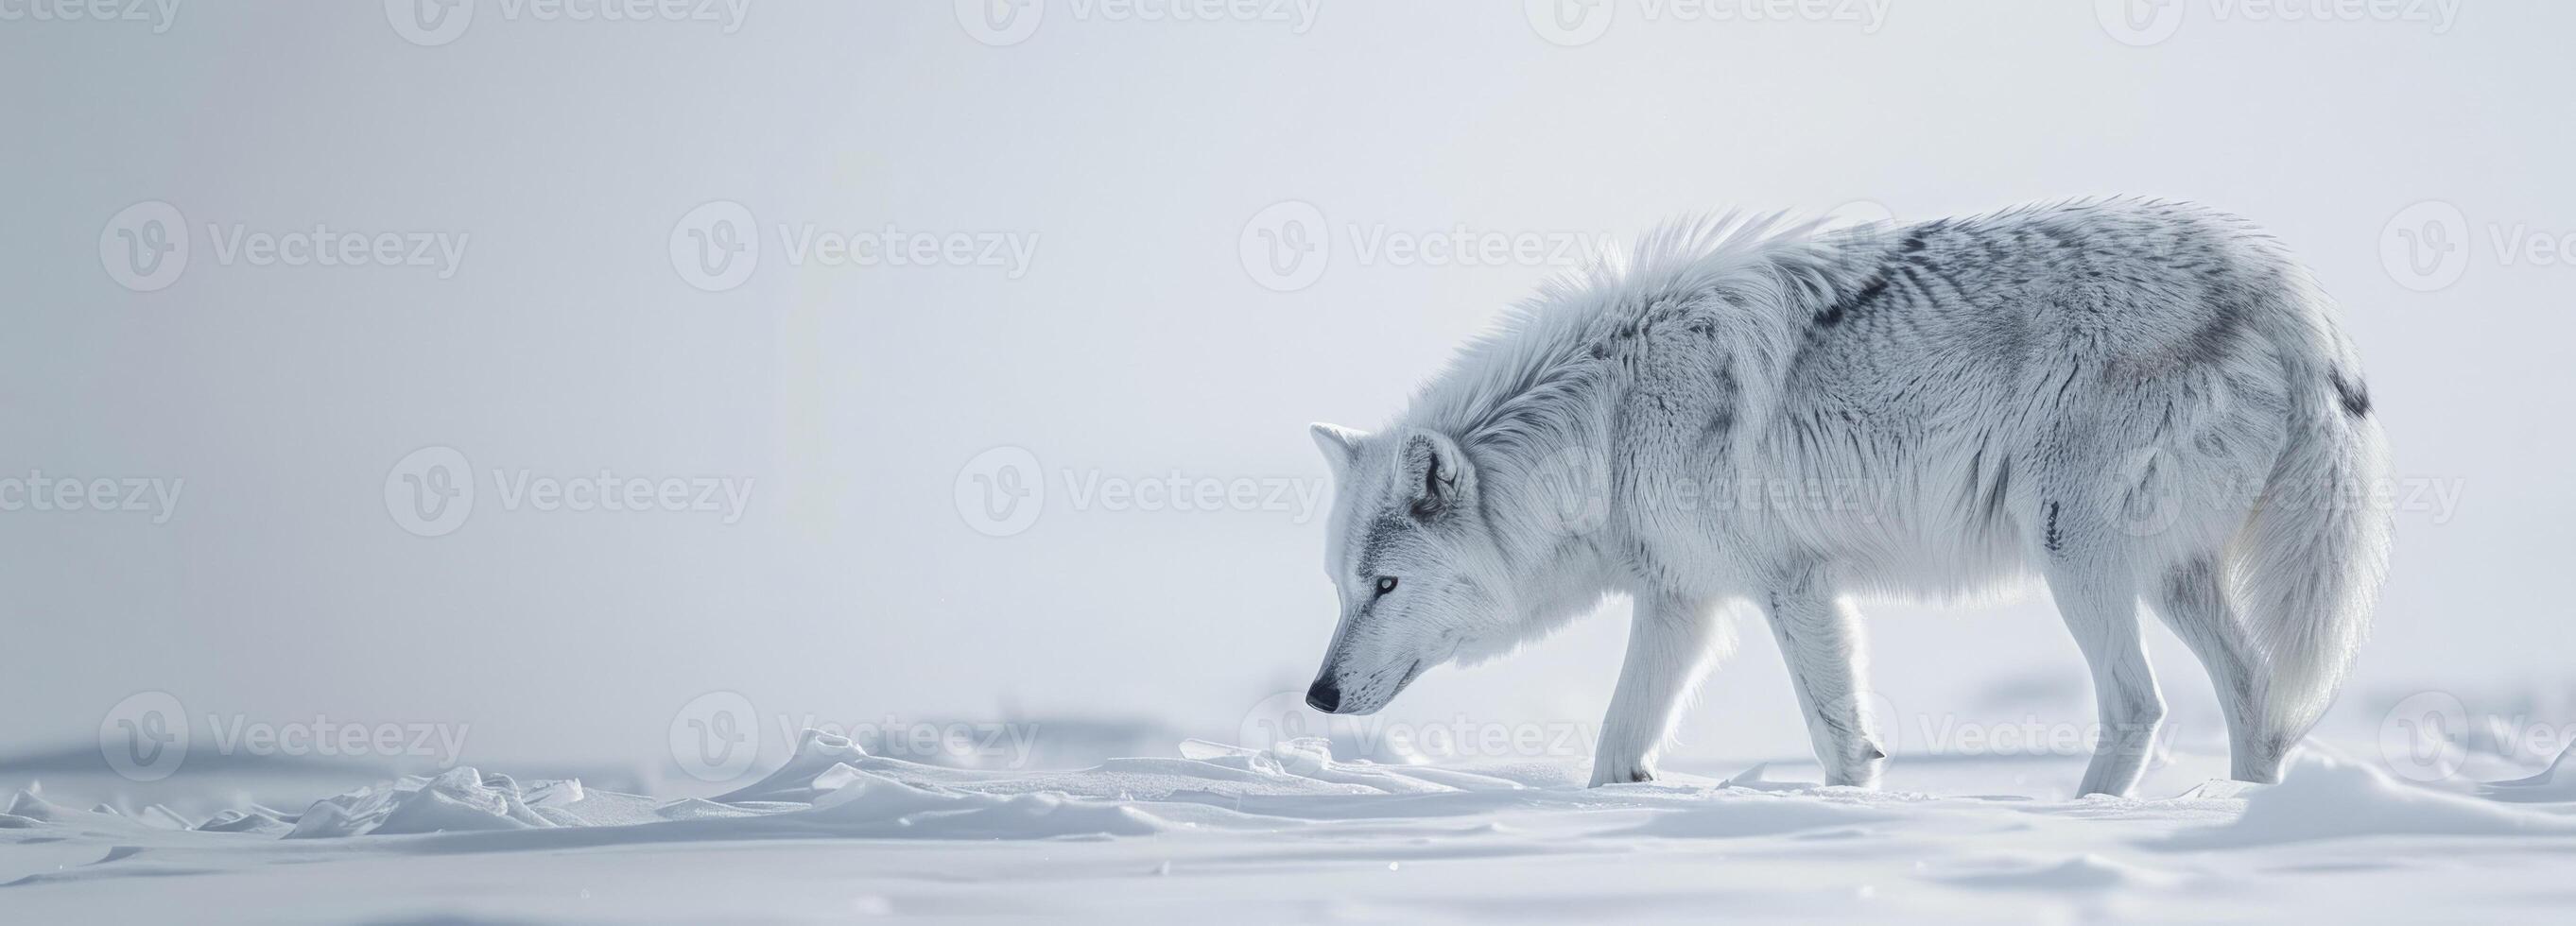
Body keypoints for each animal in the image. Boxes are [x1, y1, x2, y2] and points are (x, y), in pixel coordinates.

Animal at [1308, 198, 2390, 792]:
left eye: (1386, 586)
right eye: (1340, 585)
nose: (1316, 695)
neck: (1608, 426)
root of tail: (2288, 292)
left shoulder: (1791, 585)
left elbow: (1840, 740)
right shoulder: (1681, 602)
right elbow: (1616, 749)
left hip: (2070, 552)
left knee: (2137, 706)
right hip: (2169, 576)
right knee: (2256, 698)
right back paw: (2241, 819)